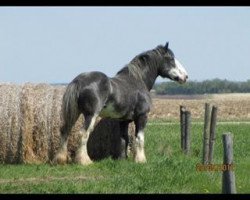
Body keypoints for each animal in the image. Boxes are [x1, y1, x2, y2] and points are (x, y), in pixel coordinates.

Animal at [53, 41, 188, 165]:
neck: (137, 80)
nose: (185, 76)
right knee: (83, 134)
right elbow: (139, 138)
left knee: (65, 130)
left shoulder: (124, 121)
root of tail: (79, 81)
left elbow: (124, 139)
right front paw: (141, 160)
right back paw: (85, 161)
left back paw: (61, 159)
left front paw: (123, 159)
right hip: (90, 115)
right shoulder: (142, 116)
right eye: (171, 59)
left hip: (75, 112)